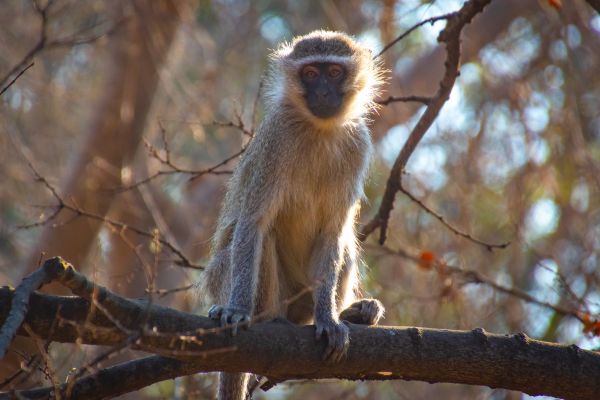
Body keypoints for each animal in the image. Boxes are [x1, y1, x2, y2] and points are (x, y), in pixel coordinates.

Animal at [202, 31, 386, 400]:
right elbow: (253, 223)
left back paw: (351, 313)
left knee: (344, 243)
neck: (319, 130)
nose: (324, 93)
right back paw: (260, 318)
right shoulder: (276, 139)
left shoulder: (358, 144)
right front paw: (237, 310)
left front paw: (328, 319)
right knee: (261, 235)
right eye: (311, 74)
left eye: (334, 73)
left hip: (303, 298)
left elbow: (333, 233)